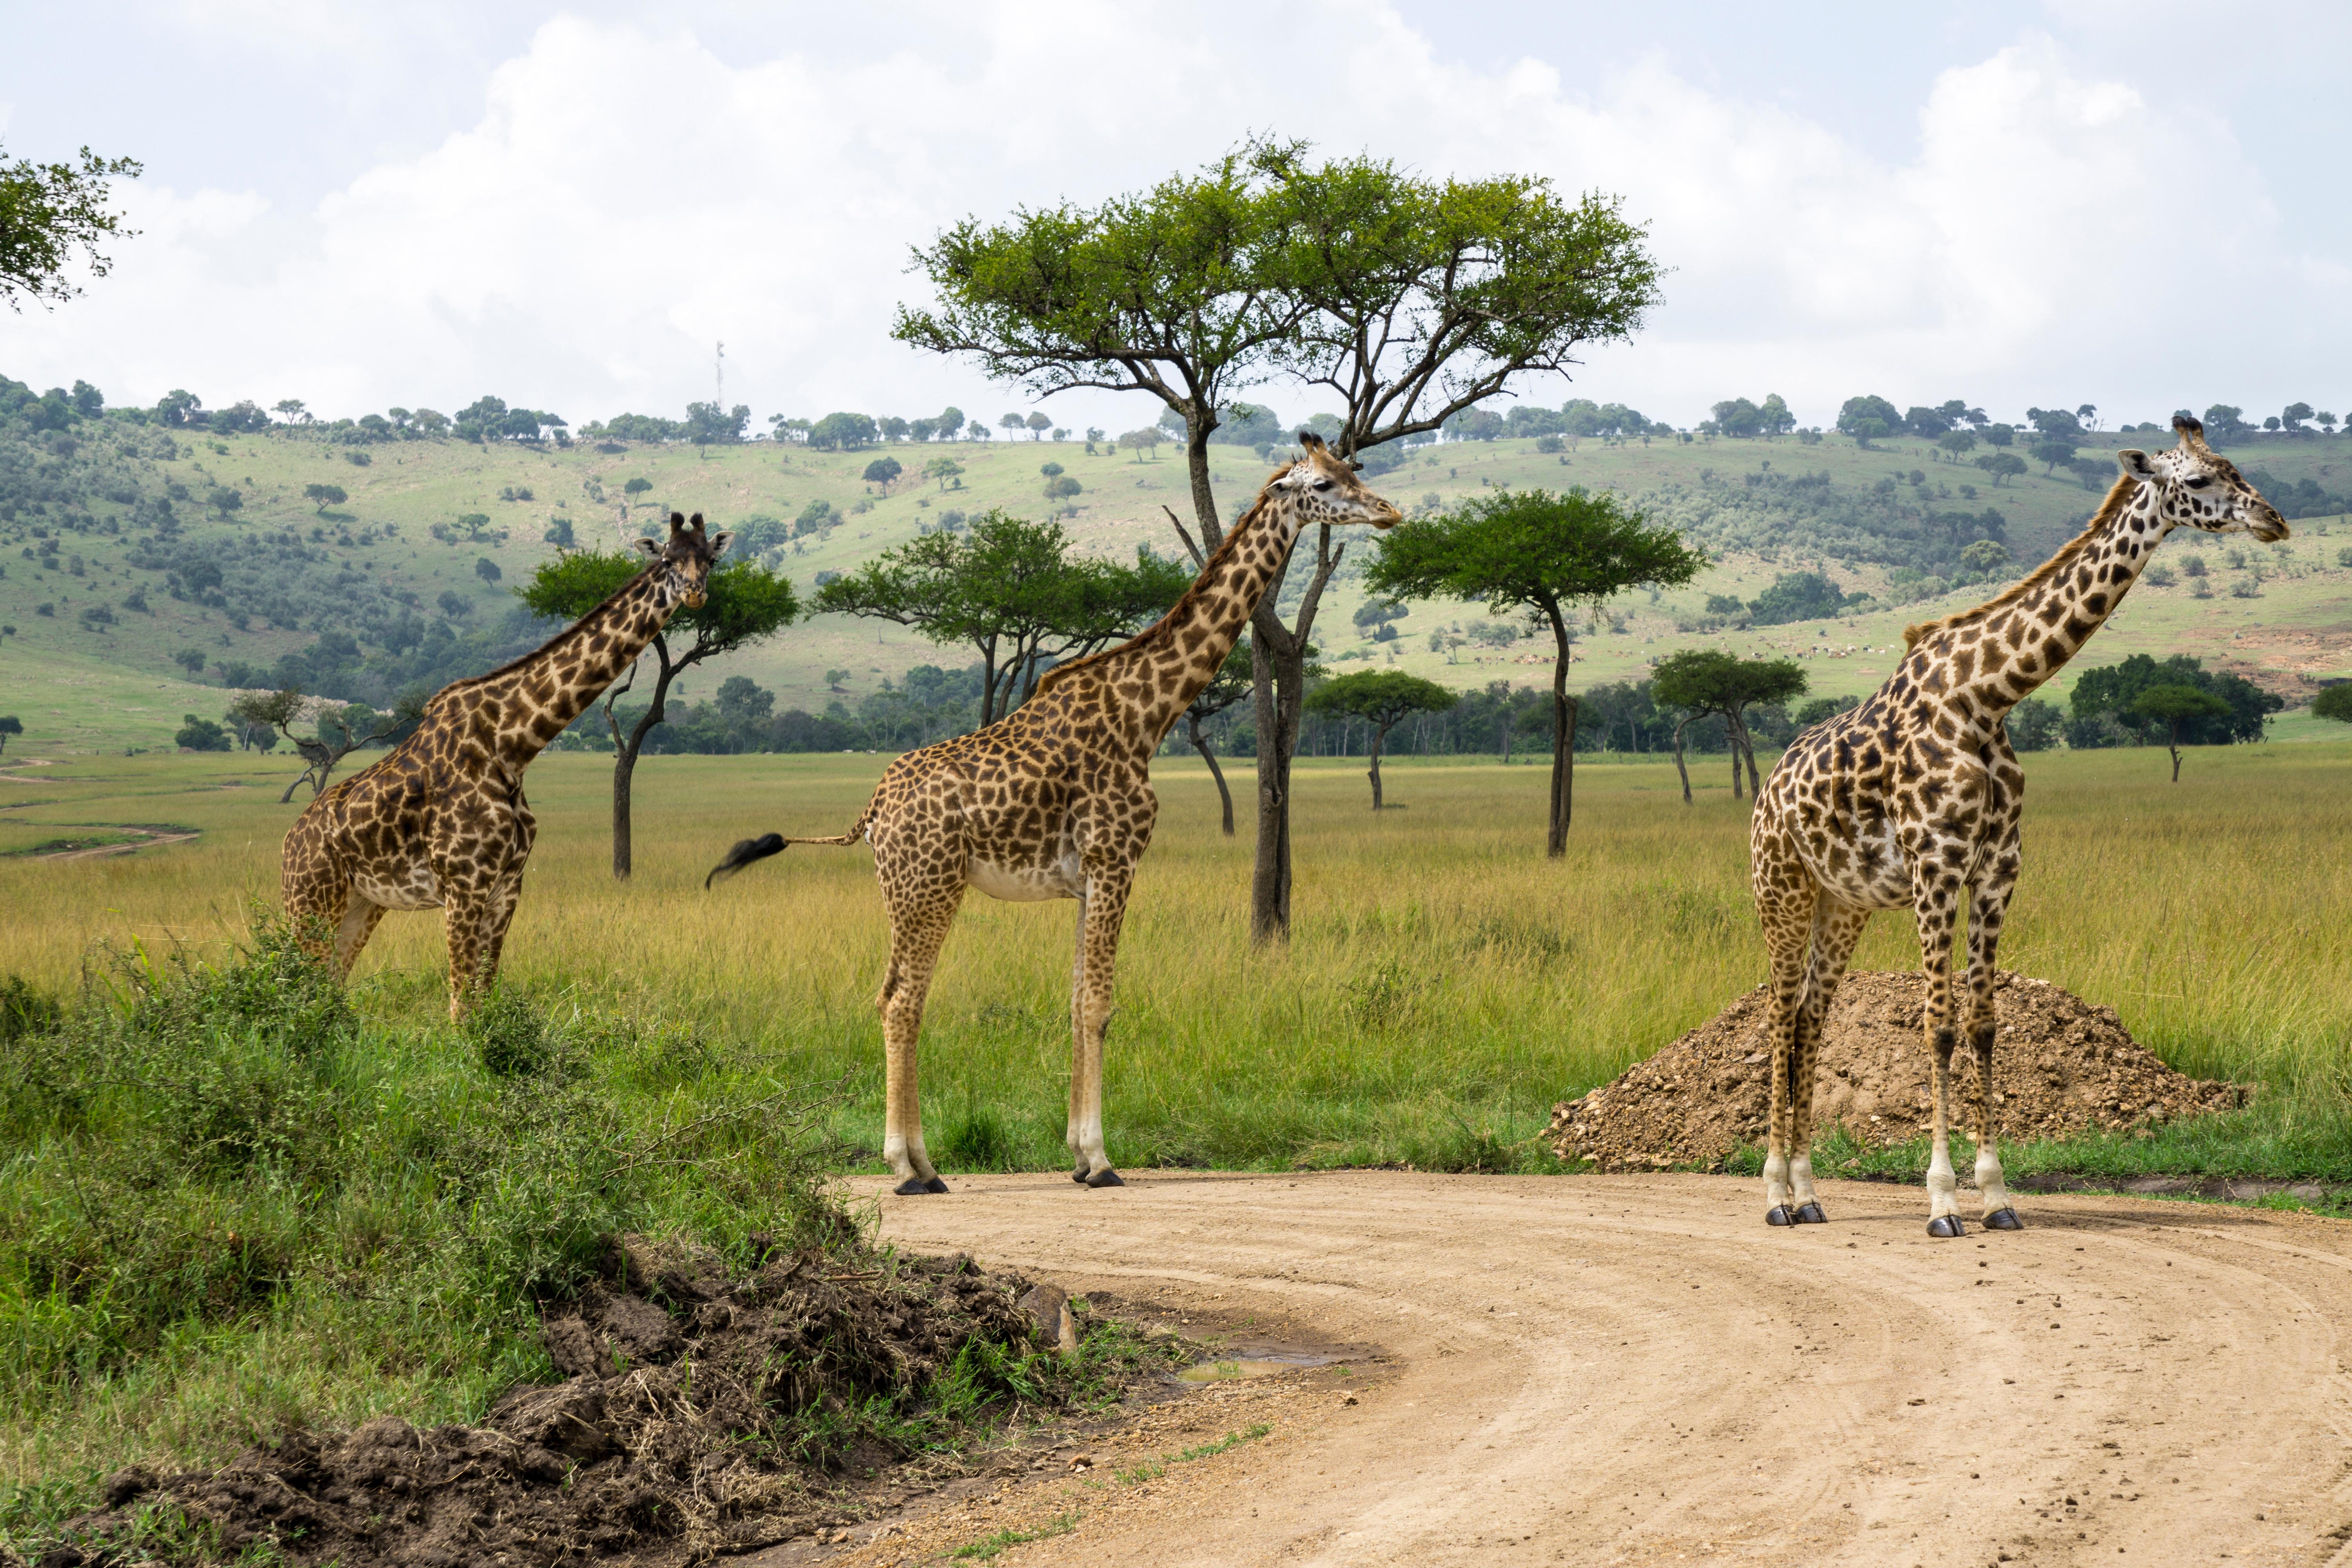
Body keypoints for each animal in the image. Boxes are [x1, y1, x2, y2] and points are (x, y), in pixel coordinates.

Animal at [283, 510, 729, 1011]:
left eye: (711, 560)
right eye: (668, 560)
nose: (695, 592)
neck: (512, 745)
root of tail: (288, 844)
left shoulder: (507, 886)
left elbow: (486, 997)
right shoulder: (463, 885)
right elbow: (462, 1006)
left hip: (362, 903)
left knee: (327, 987)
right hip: (312, 900)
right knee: (297, 988)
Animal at [696, 435, 1392, 1194]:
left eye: (1354, 470)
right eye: (1325, 483)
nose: (1389, 512)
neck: (1149, 713)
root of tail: (874, 808)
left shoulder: (1086, 880)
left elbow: (1076, 1001)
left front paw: (1079, 1156)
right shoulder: (1117, 860)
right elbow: (1100, 1005)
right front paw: (1101, 1160)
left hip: (902, 893)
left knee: (888, 995)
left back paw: (925, 1165)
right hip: (930, 887)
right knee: (904, 1001)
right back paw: (909, 1168)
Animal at [1750, 421, 2277, 1241]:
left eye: (2234, 466)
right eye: (2199, 479)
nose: (2274, 521)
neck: (1987, 696)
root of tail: (1767, 791)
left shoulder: (1998, 869)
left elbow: (1985, 1024)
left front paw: (1996, 1195)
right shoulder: (1936, 866)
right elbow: (1936, 1025)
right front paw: (1941, 1202)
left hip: (1845, 904)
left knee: (1810, 1014)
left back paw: (1809, 1193)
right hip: (1782, 886)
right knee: (1778, 1015)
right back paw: (1775, 1194)